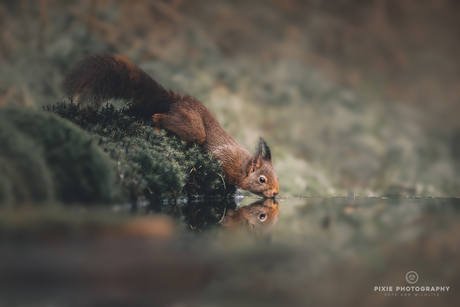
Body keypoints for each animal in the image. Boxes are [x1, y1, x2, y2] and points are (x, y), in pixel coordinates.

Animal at [60, 54, 276, 199]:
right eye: (262, 179)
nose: (275, 193)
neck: (243, 166)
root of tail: (178, 100)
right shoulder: (226, 157)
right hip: (193, 128)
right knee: (159, 117)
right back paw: (157, 129)